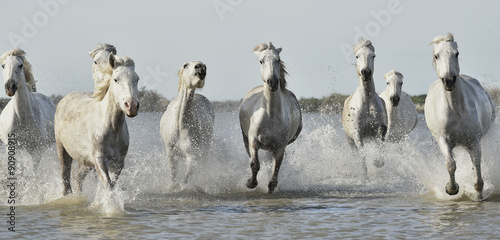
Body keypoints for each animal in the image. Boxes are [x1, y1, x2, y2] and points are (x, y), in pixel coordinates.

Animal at [54, 54, 139, 195]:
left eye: (136, 79)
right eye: (116, 79)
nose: (131, 106)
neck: (112, 128)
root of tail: (65, 99)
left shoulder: (118, 162)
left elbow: (112, 184)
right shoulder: (99, 159)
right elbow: (107, 184)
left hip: (86, 160)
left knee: (79, 176)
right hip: (63, 150)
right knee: (65, 179)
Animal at [240, 42, 302, 193]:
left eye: (278, 60)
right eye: (261, 61)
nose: (272, 82)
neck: (270, 116)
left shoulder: (280, 146)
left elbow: (276, 167)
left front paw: (270, 187)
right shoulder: (253, 141)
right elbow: (255, 163)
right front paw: (250, 183)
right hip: (245, 139)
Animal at [342, 37, 388, 172]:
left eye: (373, 55)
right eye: (357, 56)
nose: (366, 72)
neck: (366, 104)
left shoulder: (377, 129)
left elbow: (381, 138)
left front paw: (378, 162)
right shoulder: (357, 134)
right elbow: (362, 156)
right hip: (350, 141)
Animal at [424, 32, 494, 200]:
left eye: (456, 53)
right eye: (436, 56)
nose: (449, 80)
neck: (455, 109)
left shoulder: (474, 141)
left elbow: (477, 171)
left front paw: (479, 196)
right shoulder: (444, 140)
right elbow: (450, 165)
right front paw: (451, 189)